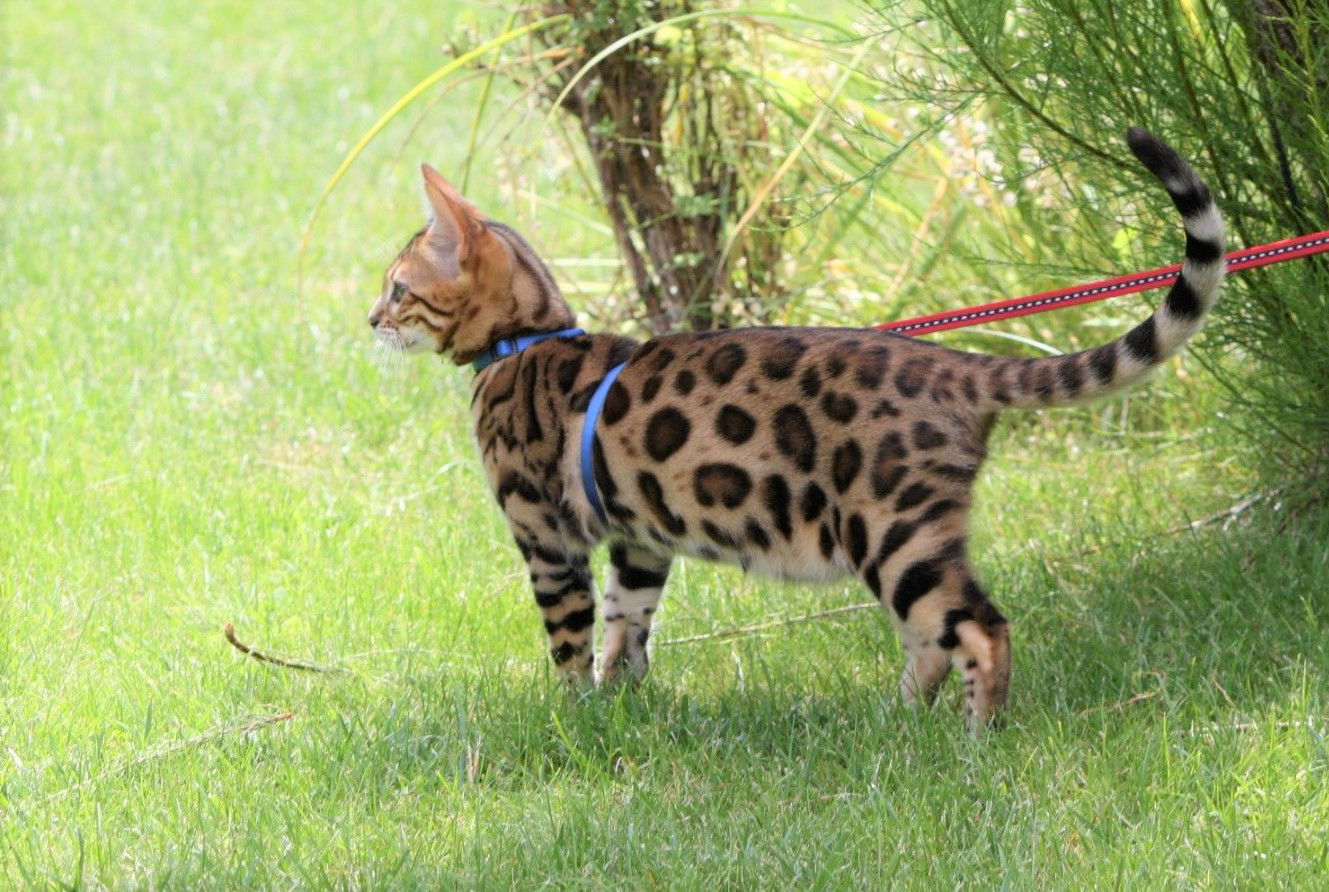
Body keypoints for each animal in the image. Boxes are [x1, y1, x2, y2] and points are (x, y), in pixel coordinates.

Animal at [366, 130, 1222, 733]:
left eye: (399, 289)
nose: (370, 319)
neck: (527, 340)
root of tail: (954, 364)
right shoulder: (639, 540)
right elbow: (626, 625)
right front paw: (623, 706)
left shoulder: (547, 537)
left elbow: (569, 639)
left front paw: (574, 718)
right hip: (903, 537)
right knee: (928, 639)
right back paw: (895, 727)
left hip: (891, 528)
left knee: (978, 629)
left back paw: (979, 738)